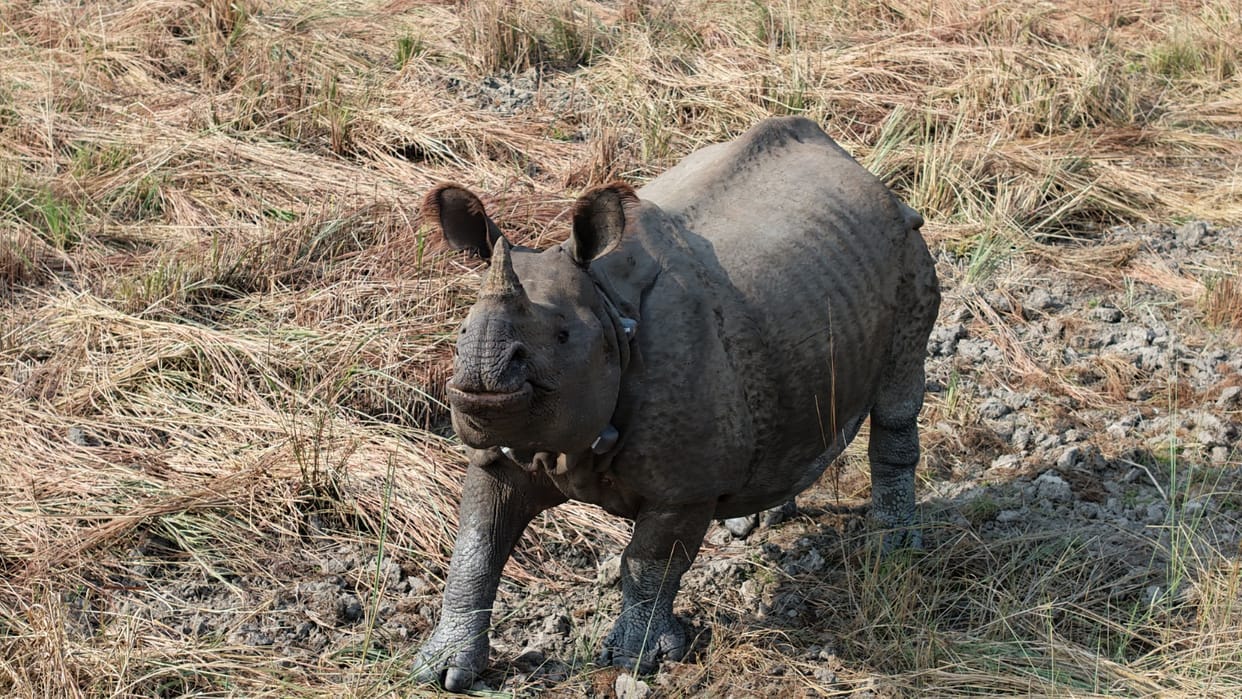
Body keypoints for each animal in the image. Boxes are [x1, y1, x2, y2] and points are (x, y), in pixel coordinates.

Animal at [413, 116, 940, 691]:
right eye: (462, 333)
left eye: (562, 337)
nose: (480, 384)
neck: (606, 306)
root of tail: (861, 170)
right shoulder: (502, 452)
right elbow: (475, 550)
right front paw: (441, 668)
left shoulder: (685, 486)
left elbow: (649, 562)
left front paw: (637, 658)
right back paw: (759, 517)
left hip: (907, 251)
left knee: (896, 399)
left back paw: (894, 547)